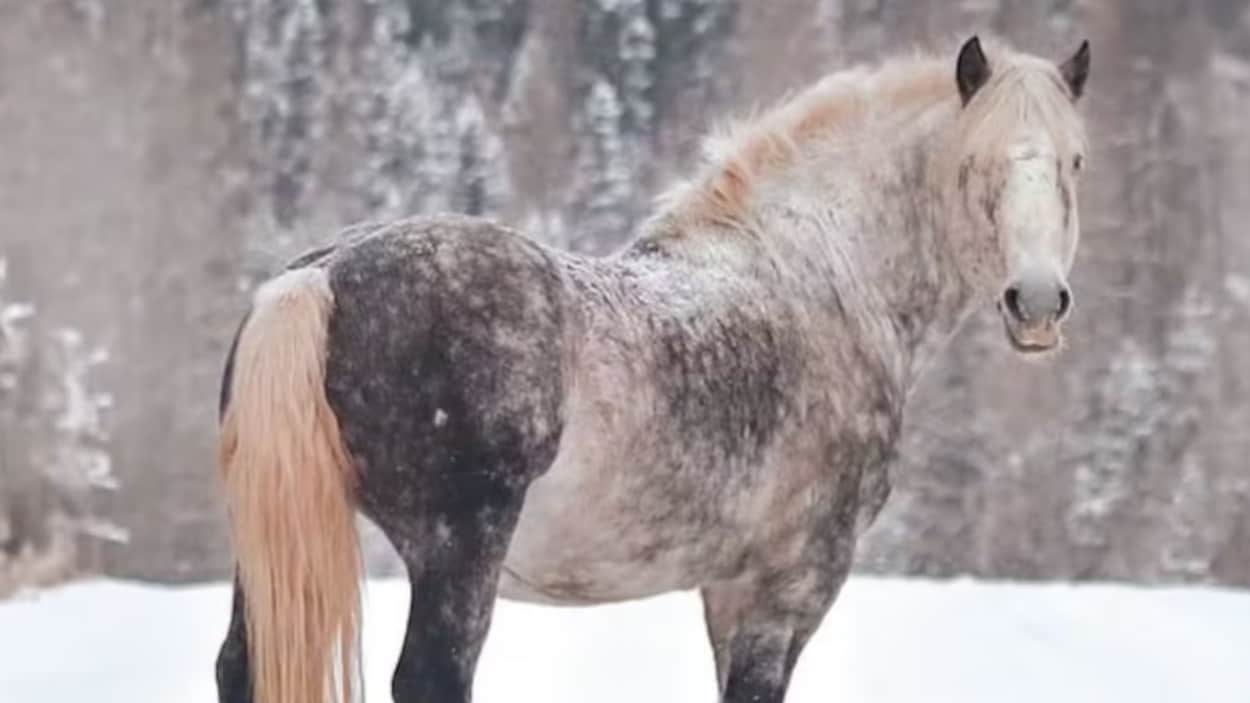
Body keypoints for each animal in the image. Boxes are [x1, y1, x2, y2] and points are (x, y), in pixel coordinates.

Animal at [214, 35, 1091, 703]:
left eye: (1074, 163)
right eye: (976, 165)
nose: (1037, 301)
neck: (823, 279)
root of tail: (322, 276)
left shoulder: (727, 591)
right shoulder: (786, 587)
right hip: (456, 551)